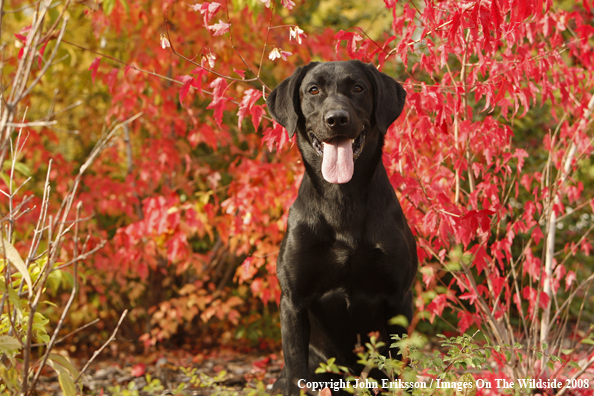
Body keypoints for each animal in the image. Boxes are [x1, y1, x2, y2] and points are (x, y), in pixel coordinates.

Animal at [266, 60, 414, 394]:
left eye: (358, 87)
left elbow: (399, 371)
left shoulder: (399, 297)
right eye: (313, 90)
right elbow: (296, 375)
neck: (342, 198)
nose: (336, 119)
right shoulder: (293, 301)